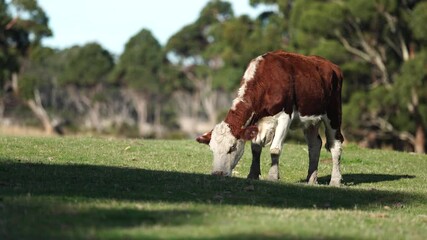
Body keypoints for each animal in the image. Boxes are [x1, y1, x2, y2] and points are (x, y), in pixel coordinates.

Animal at [197, 49, 344, 187]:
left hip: (333, 114)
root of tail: (332, 66)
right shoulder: (256, 121)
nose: (218, 173)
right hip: (311, 120)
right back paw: (311, 179)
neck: (266, 82)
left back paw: (335, 180)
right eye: (212, 150)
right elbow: (255, 148)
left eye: (232, 148)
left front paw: (273, 176)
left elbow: (275, 149)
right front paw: (253, 174)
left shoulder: (285, 116)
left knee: (335, 145)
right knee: (314, 145)